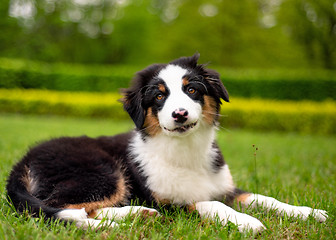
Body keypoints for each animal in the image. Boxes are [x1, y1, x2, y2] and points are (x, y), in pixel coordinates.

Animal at [5, 54, 326, 232]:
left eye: (192, 90)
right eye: (159, 96)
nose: (179, 114)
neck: (185, 150)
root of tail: (22, 162)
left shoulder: (225, 188)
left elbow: (262, 198)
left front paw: (309, 212)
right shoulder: (170, 202)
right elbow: (207, 203)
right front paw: (248, 223)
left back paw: (137, 215)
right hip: (100, 171)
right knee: (58, 208)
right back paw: (117, 221)